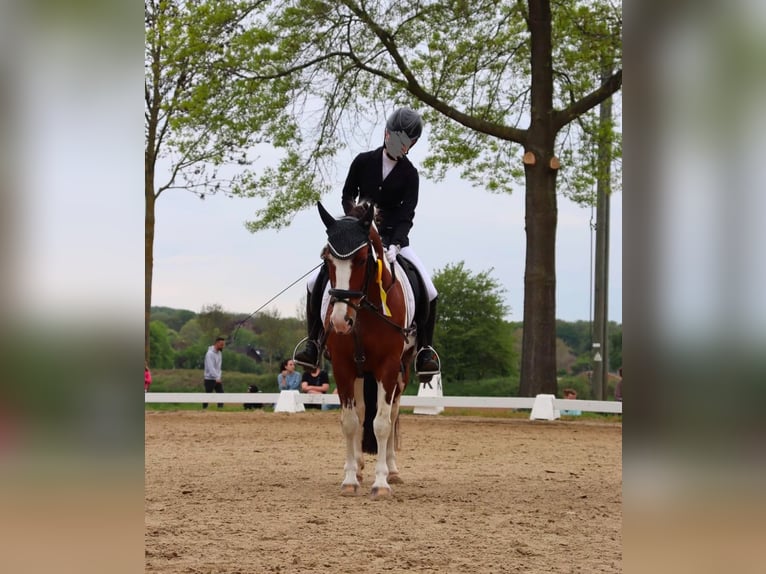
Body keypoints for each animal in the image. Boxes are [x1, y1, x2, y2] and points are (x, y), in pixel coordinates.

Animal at [316, 202, 416, 500]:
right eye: (327, 260)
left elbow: (381, 423)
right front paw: (350, 479)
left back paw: (392, 471)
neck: (363, 311)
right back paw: (358, 467)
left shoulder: (388, 366)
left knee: (392, 416)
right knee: (361, 413)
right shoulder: (343, 367)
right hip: (360, 373)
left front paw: (381, 483)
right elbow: (350, 421)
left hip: (401, 374)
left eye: (361, 259)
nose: (340, 321)